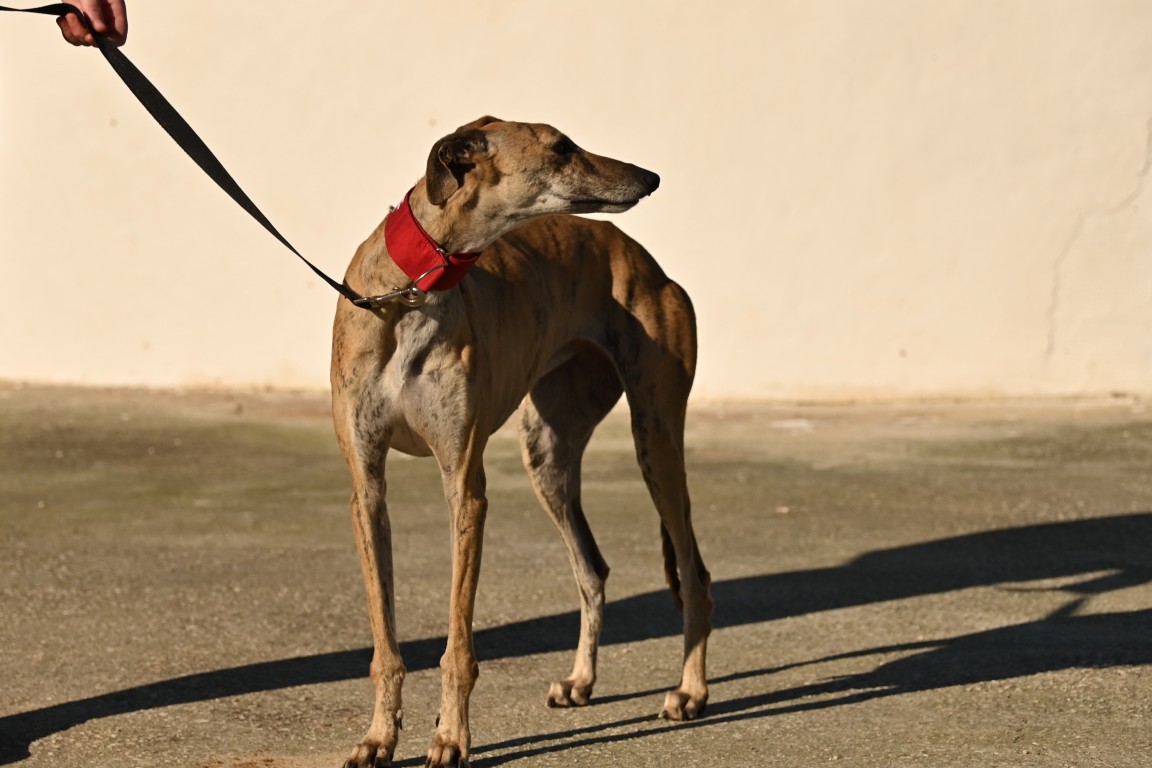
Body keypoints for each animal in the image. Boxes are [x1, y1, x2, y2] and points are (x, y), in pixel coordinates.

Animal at [331, 116, 712, 768]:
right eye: (561, 147)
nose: (651, 177)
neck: (411, 292)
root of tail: (646, 262)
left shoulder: (464, 486)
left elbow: (458, 645)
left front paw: (450, 738)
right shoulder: (366, 487)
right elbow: (384, 640)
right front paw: (380, 737)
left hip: (656, 438)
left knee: (693, 571)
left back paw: (689, 692)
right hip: (548, 454)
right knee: (592, 569)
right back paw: (581, 681)